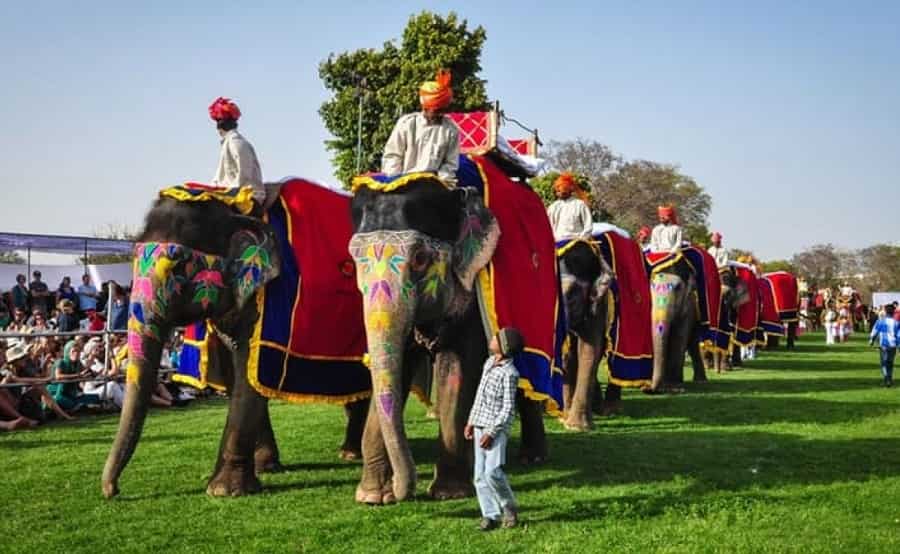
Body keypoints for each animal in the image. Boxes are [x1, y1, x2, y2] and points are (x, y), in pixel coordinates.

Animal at [103, 181, 372, 496]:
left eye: (179, 266)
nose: (113, 491)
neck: (232, 205)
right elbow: (236, 373)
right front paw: (266, 467)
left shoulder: (270, 299)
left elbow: (248, 371)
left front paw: (224, 491)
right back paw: (351, 452)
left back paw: (354, 454)